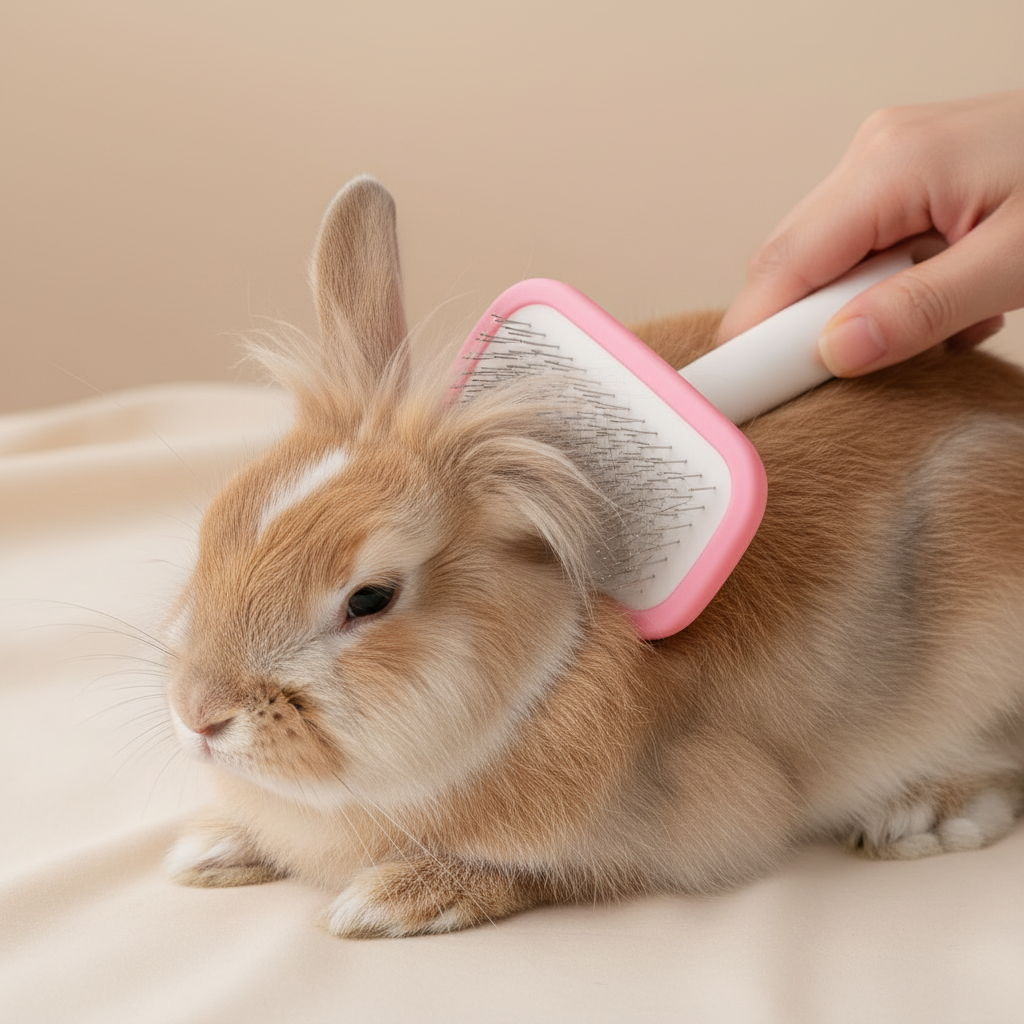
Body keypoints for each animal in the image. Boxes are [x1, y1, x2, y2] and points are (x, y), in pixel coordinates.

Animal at [163, 175, 1024, 938]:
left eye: (370, 598)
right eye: (213, 531)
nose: (199, 715)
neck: (540, 676)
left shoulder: (685, 825)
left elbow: (541, 872)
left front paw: (394, 901)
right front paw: (210, 847)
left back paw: (920, 816)